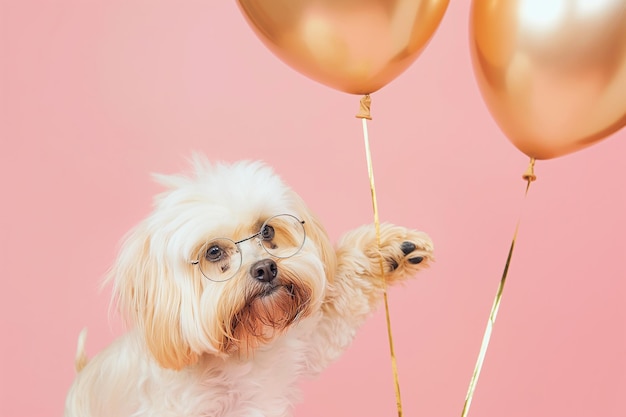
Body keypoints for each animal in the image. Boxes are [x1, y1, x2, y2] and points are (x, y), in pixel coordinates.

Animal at [64, 157, 434, 416]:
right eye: (214, 251)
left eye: (267, 231)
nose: (266, 268)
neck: (239, 354)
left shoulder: (306, 344)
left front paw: (388, 251)